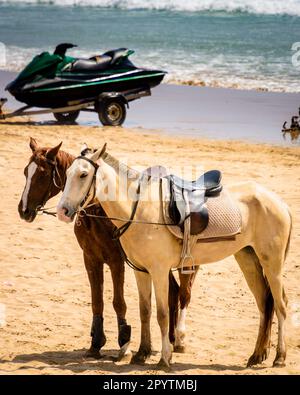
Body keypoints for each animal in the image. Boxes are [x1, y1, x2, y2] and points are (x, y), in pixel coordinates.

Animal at [18, 138, 197, 360]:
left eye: (42, 174)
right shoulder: (91, 258)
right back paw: (170, 339)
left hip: (185, 264)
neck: (99, 212)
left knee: (184, 294)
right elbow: (97, 301)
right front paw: (95, 343)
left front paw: (124, 344)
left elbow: (118, 302)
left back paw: (179, 339)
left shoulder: (116, 261)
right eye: (26, 172)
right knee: (173, 293)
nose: (23, 210)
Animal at [56, 145, 290, 372]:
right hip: (248, 259)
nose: (62, 211)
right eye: (67, 174)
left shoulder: (159, 271)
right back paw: (256, 355)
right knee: (264, 303)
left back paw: (280, 357)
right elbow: (145, 311)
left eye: (83, 174)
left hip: (272, 264)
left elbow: (162, 314)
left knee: (280, 305)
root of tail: (278, 201)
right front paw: (142, 353)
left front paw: (165, 358)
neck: (140, 209)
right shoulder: (141, 271)